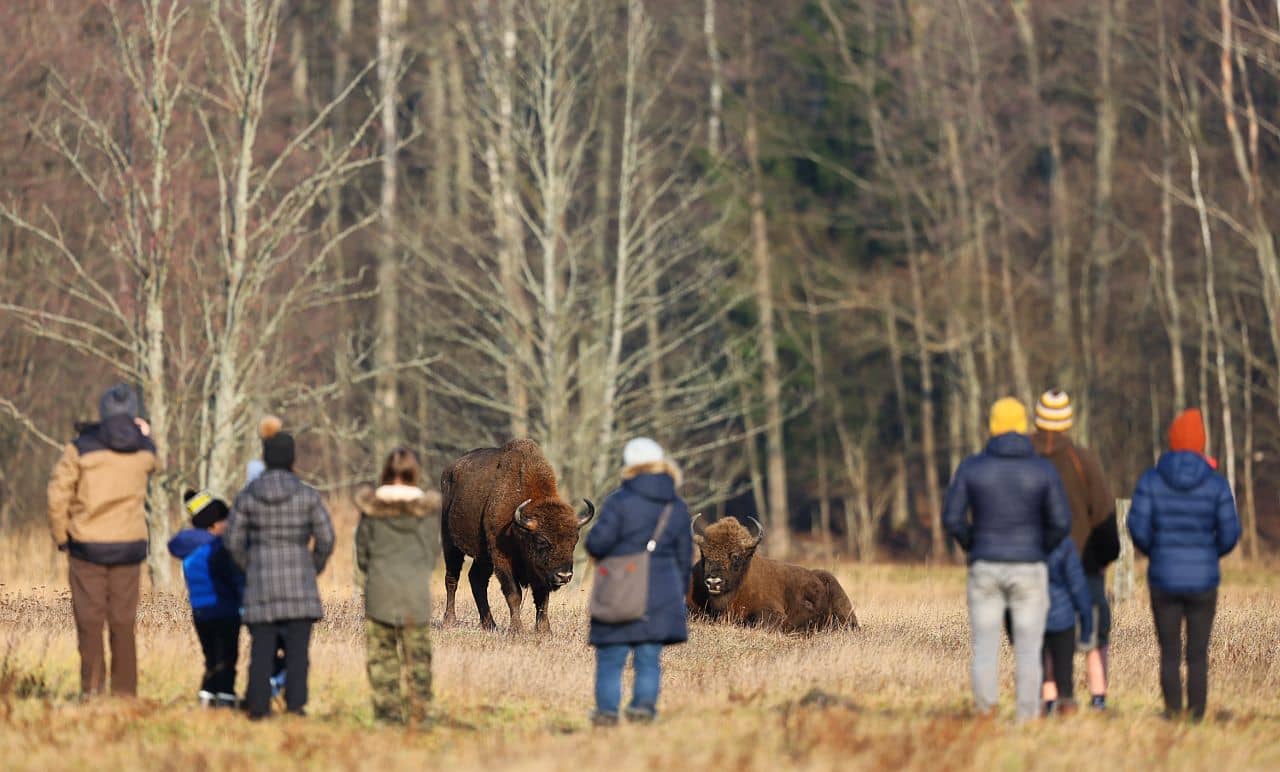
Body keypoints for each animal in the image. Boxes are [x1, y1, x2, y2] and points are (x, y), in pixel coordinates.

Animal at [440, 440, 593, 635]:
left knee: (476, 580)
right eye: (542, 541)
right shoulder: (502, 559)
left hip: (483, 556)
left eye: (574, 541)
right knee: (452, 579)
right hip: (450, 544)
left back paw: (489, 625)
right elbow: (514, 594)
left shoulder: (539, 572)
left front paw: (545, 631)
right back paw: (449, 621)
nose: (564, 575)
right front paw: (517, 630)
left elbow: (543, 598)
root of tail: (449, 470)